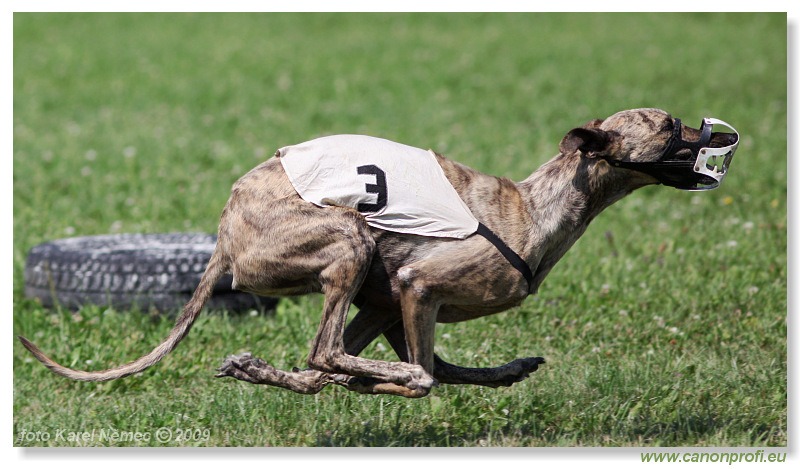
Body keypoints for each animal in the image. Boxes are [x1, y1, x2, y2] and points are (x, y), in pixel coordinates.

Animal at [18, 108, 740, 396]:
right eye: (669, 125)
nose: (722, 137)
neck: (534, 207)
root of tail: (224, 234)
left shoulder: (393, 302)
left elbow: (441, 366)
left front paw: (508, 369)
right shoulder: (419, 285)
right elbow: (425, 372)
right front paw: (396, 381)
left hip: (359, 282)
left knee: (320, 364)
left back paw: (259, 369)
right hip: (348, 239)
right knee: (325, 354)